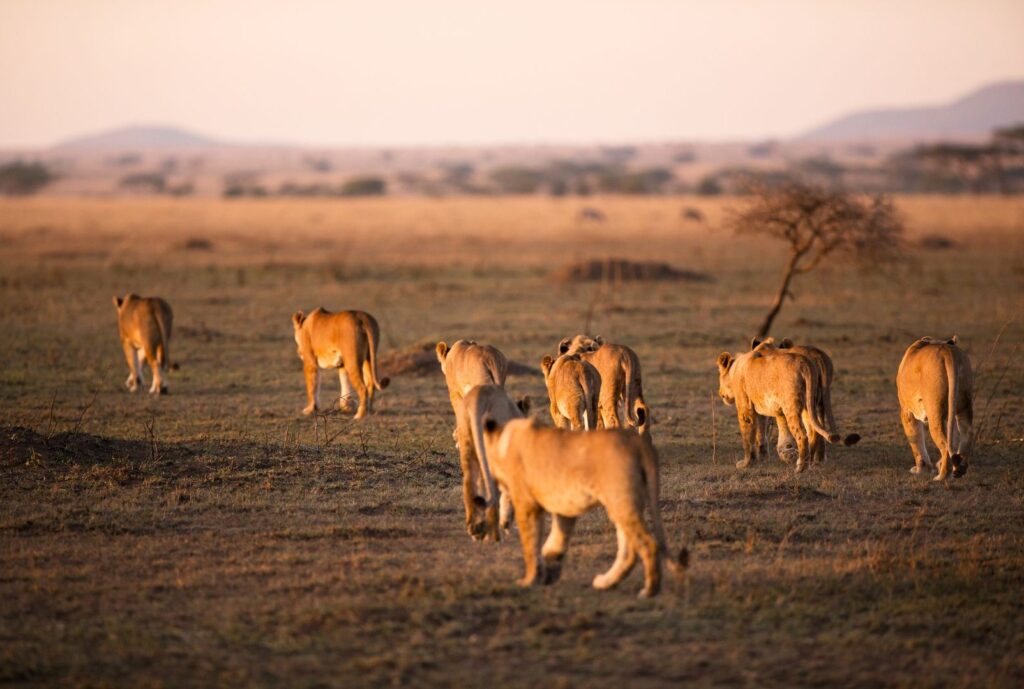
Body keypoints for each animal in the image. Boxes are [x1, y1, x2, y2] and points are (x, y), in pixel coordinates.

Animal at [479, 407, 686, 598]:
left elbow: (530, 545)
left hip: (621, 501)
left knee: (648, 544)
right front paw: (549, 572)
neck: (503, 441)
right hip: (624, 504)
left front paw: (529, 580)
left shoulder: (527, 505)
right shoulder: (564, 508)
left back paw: (649, 590)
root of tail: (637, 442)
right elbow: (555, 541)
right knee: (629, 550)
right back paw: (605, 582)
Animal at [716, 339, 841, 473]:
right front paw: (764, 457)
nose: (720, 393)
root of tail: (806, 363)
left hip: (791, 407)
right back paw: (811, 463)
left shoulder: (746, 409)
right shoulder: (763, 410)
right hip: (809, 404)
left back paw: (800, 468)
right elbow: (762, 433)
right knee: (813, 432)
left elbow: (748, 438)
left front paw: (746, 463)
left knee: (802, 435)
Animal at [896, 336, 973, 480]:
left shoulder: (907, 411)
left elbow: (916, 441)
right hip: (964, 405)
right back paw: (960, 469)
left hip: (934, 412)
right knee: (966, 436)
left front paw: (920, 469)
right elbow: (953, 438)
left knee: (945, 446)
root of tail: (948, 351)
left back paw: (941, 477)